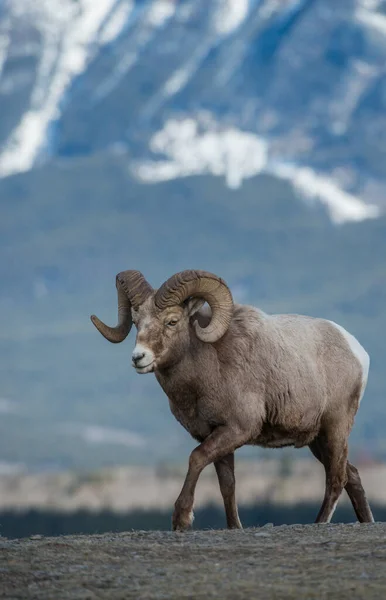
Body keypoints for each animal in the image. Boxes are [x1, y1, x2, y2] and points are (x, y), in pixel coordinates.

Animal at [90, 270, 374, 528]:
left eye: (172, 321)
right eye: (137, 322)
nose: (139, 357)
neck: (207, 370)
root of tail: (357, 351)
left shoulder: (236, 429)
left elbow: (196, 459)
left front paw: (182, 519)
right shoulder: (216, 436)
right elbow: (227, 485)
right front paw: (234, 526)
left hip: (335, 428)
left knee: (336, 479)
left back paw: (319, 523)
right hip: (317, 439)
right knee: (351, 476)